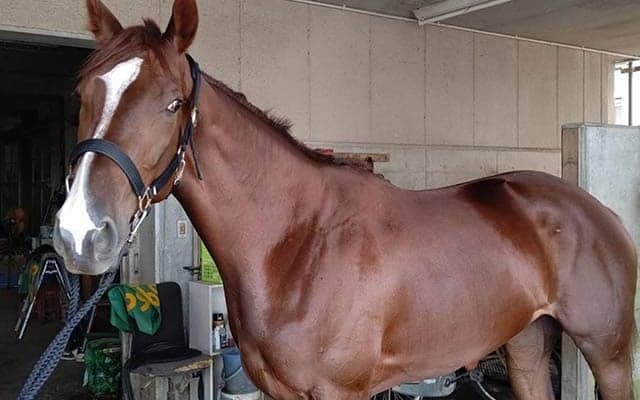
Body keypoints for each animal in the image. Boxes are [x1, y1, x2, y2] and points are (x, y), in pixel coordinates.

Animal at [53, 1, 637, 399]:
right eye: (83, 93)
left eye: (173, 103)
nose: (81, 233)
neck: (296, 244)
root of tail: (599, 212)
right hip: (526, 343)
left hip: (607, 353)